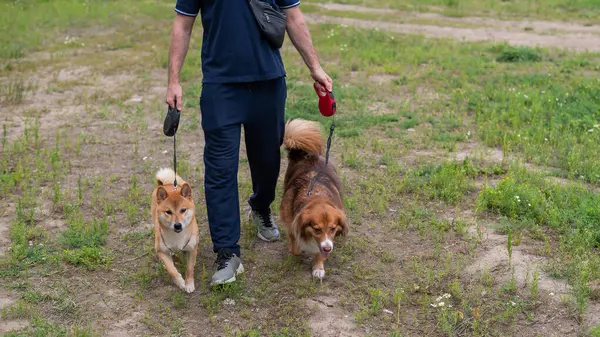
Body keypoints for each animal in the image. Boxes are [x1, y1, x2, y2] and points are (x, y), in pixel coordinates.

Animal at [278, 118, 346, 278]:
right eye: (317, 229)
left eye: (333, 228)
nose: (328, 249)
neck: (316, 195)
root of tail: (304, 154)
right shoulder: (292, 224)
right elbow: (295, 246)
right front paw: (297, 252)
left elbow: (318, 251)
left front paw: (319, 267)